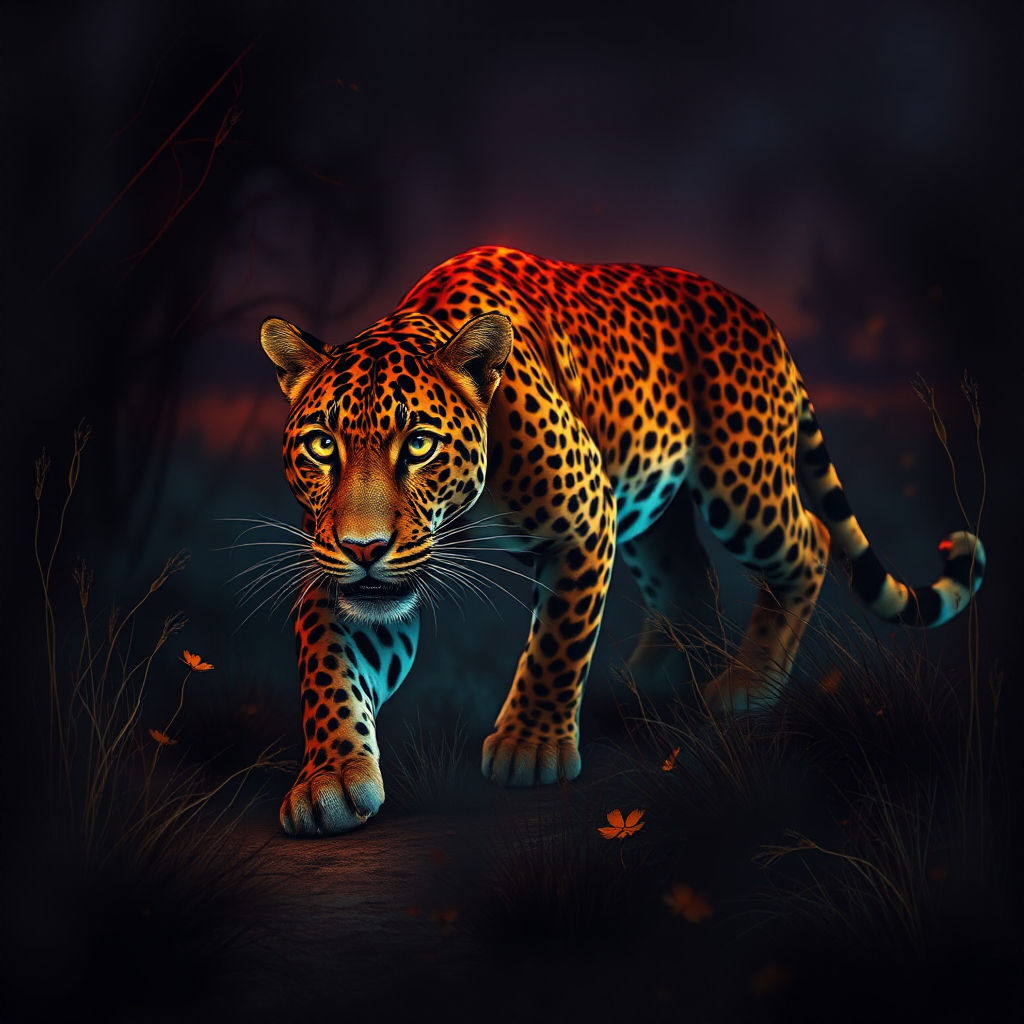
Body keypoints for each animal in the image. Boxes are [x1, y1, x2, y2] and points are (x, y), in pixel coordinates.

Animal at [259, 245, 985, 836]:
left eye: (418, 445)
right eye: (321, 445)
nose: (364, 546)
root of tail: (760, 317)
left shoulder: (585, 517)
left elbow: (557, 643)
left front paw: (531, 746)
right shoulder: (345, 578)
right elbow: (327, 668)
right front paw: (330, 779)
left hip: (740, 483)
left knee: (808, 541)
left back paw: (748, 684)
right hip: (654, 508)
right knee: (689, 573)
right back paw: (656, 678)